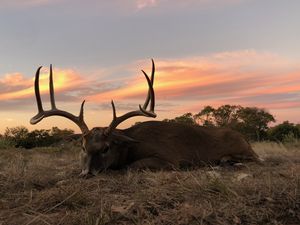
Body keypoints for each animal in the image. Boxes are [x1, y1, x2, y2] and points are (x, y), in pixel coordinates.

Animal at [30, 59, 258, 176]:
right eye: (83, 147)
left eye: (106, 148)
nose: (88, 173)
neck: (130, 146)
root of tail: (244, 138)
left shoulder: (170, 159)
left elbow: (130, 166)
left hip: (244, 149)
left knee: (254, 158)